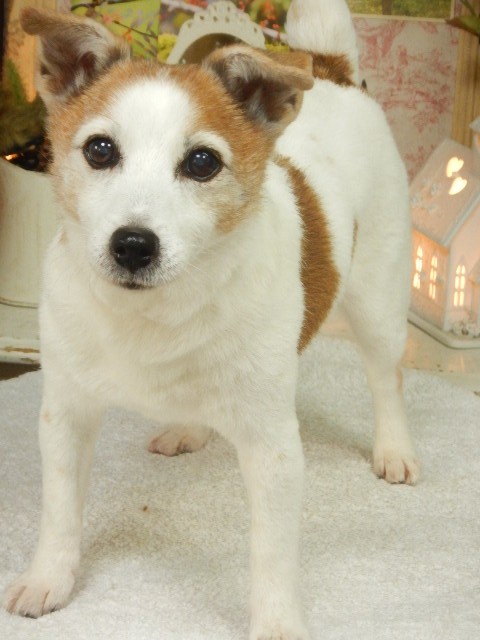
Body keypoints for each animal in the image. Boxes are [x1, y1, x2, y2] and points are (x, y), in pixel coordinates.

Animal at [4, 1, 419, 637]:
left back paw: (393, 448)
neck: (155, 313)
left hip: (377, 302)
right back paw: (189, 428)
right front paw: (50, 579)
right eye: (99, 150)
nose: (132, 245)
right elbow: (60, 513)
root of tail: (331, 69)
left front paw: (277, 624)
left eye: (202, 163)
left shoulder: (272, 448)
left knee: (385, 379)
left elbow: (272, 551)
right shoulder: (66, 415)